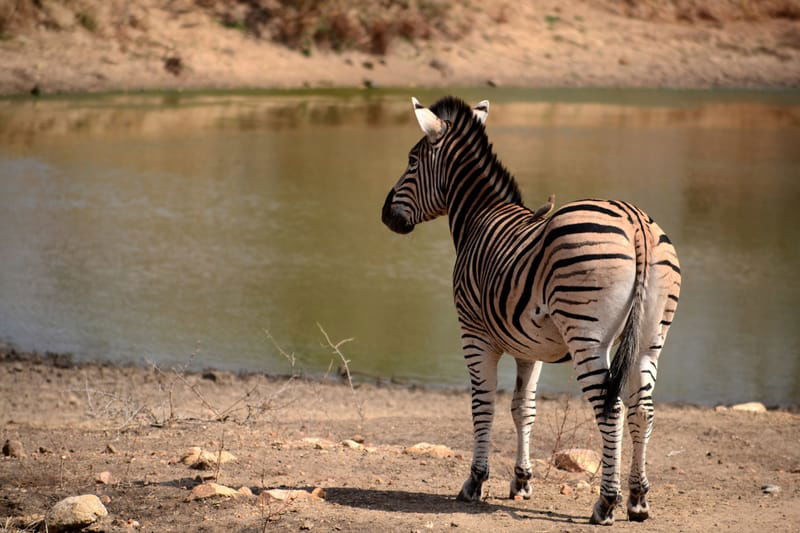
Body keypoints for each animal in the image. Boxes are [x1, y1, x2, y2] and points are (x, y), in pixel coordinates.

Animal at [382, 95, 680, 524]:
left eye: (411, 160)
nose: (385, 215)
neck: (478, 217)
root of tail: (634, 219)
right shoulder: (530, 348)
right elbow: (524, 408)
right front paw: (521, 481)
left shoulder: (474, 333)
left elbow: (483, 404)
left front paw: (475, 481)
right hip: (650, 337)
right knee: (643, 409)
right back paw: (638, 501)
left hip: (586, 335)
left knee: (612, 409)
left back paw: (606, 503)